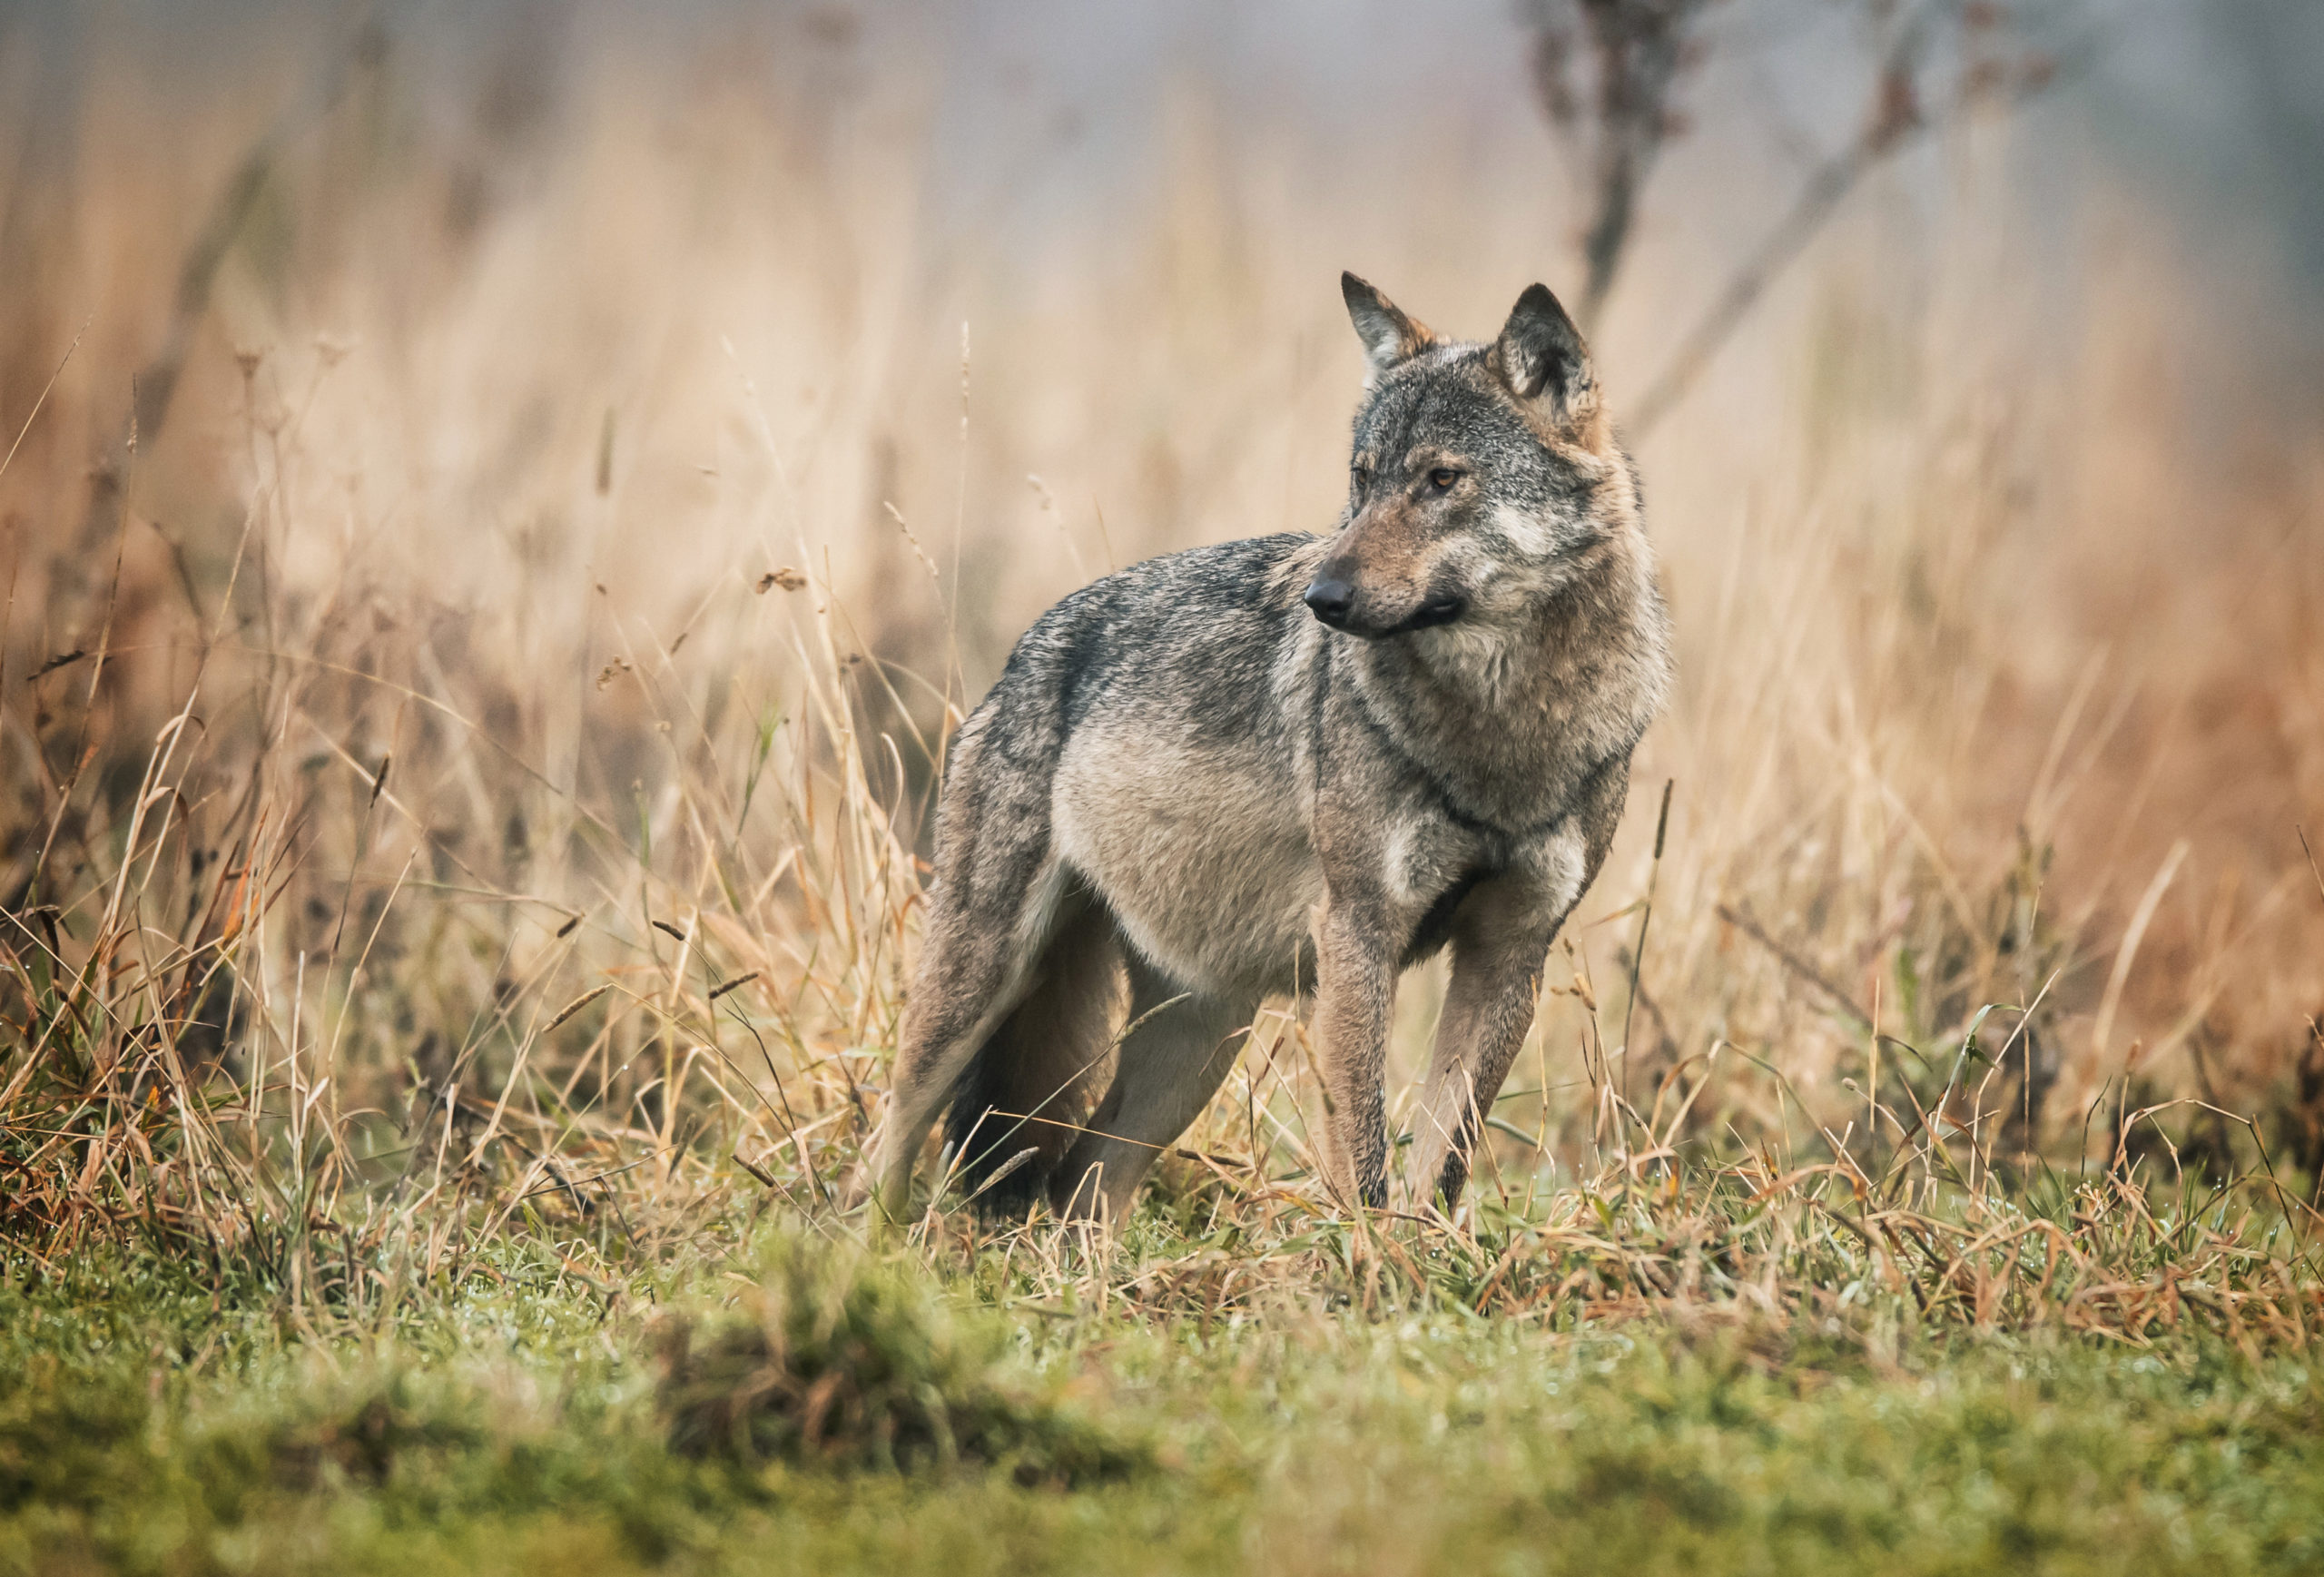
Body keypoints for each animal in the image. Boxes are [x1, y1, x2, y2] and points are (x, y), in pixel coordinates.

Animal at [869, 274, 1672, 1227]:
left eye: (1441, 479)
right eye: (1361, 480)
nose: (1323, 597)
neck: (1504, 731)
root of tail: (1023, 653)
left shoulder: (1513, 948)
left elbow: (1444, 1161)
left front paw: (1424, 1252)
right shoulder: (1359, 931)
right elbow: (1362, 1152)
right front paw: (1370, 1259)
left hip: (1197, 1045)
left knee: (1082, 1188)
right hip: (981, 983)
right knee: (887, 1144)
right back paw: (859, 1242)